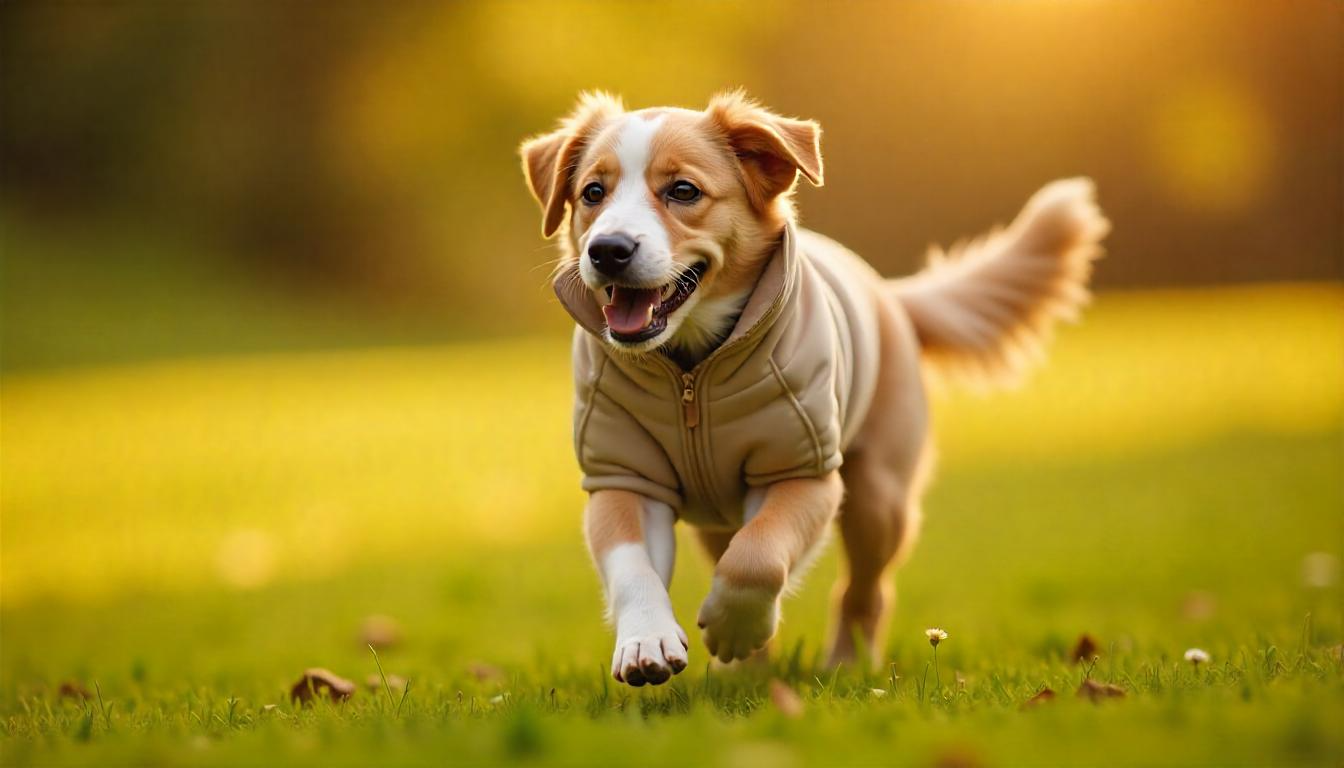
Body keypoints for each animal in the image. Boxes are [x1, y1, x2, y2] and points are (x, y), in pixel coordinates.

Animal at [518, 91, 1107, 688]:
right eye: (593, 193)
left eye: (683, 191)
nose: (607, 250)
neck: (692, 370)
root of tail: (889, 294)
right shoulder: (621, 474)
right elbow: (633, 565)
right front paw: (646, 642)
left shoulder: (807, 470)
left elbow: (758, 556)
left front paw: (734, 626)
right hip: (721, 518)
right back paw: (744, 674)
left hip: (879, 498)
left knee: (865, 591)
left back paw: (845, 662)